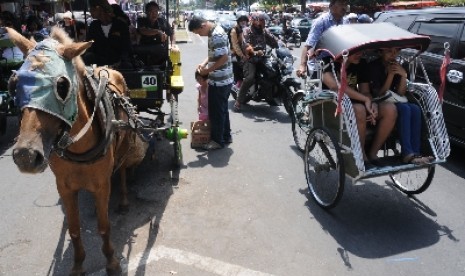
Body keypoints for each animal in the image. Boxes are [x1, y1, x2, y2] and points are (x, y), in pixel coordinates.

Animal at [8, 26, 148, 276]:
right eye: (15, 84)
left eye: (62, 87)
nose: (26, 156)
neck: (77, 146)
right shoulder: (64, 186)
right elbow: (74, 229)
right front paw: (78, 264)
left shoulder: (102, 184)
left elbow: (104, 226)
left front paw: (111, 262)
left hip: (124, 142)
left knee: (122, 170)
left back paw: (123, 199)